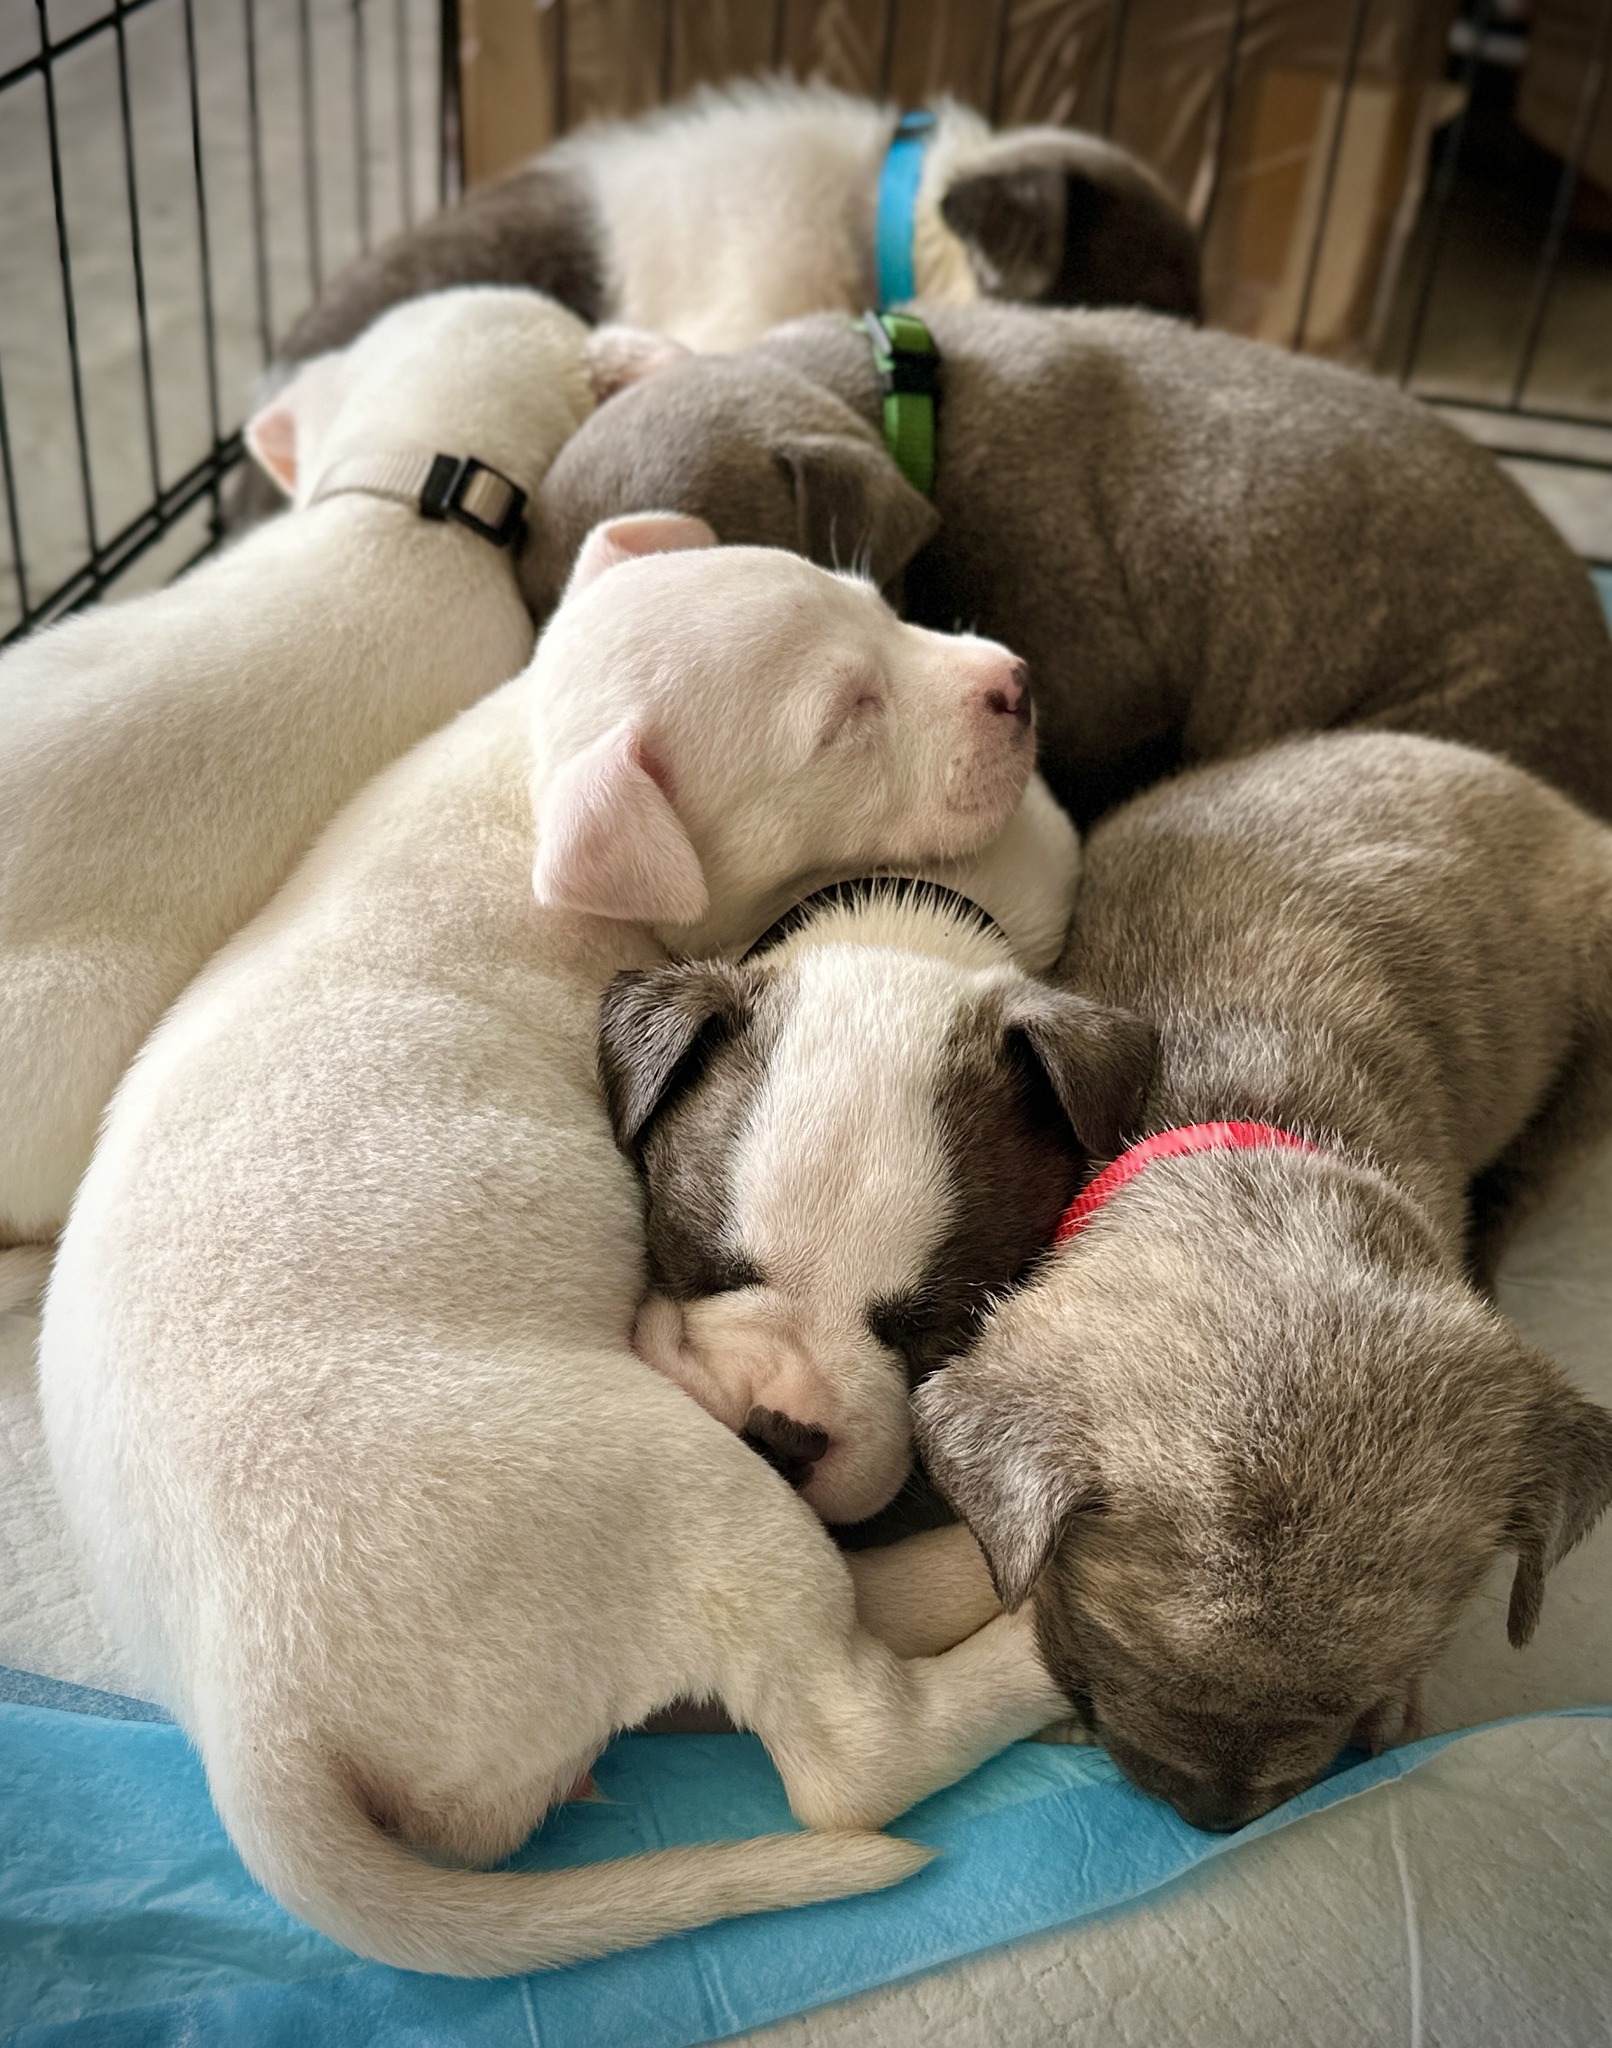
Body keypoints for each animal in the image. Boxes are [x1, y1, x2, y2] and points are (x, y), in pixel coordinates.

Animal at [40, 520, 1073, 1974]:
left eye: (875, 605)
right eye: (844, 719)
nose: (1015, 686)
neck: (526, 777)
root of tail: (256, 1731)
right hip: (672, 1486)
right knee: (850, 1742)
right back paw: (1017, 1627)